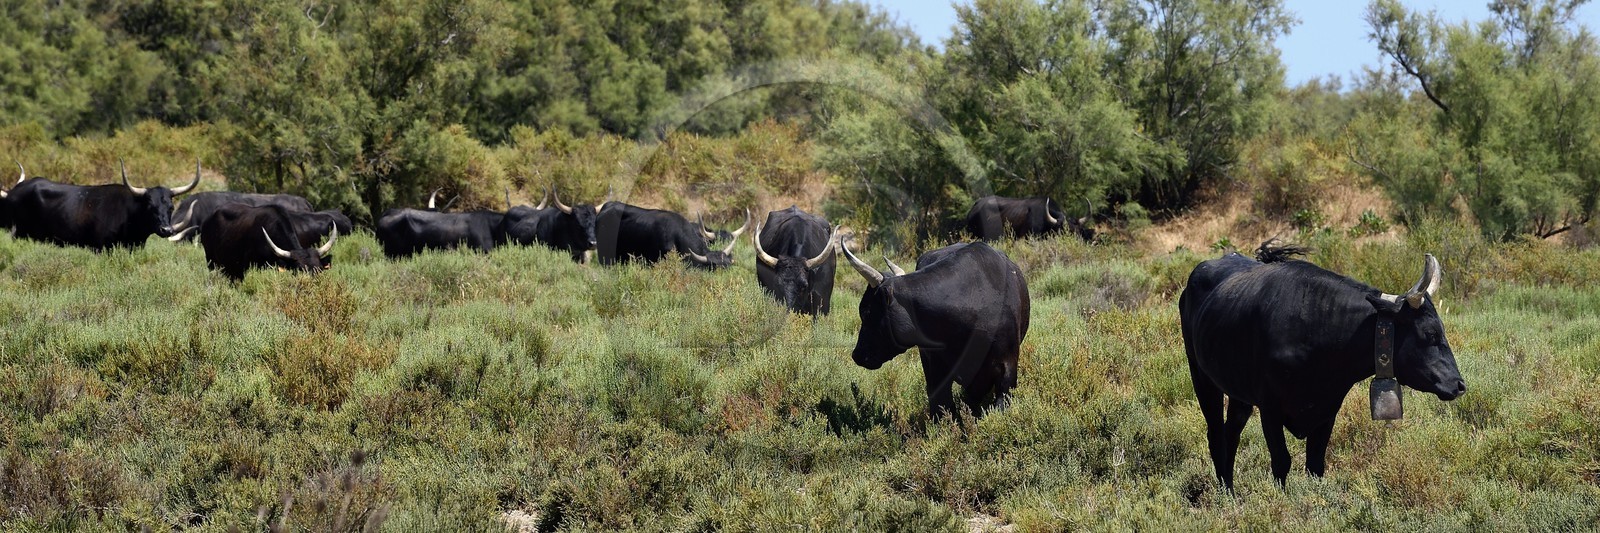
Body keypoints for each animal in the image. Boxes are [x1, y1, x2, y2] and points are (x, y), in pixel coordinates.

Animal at [4, 159, 200, 250]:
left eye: (171, 207)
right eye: (151, 207)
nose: (166, 230)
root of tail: (16, 189)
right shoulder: (101, 247)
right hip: (18, 233)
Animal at [1178, 244, 1467, 491]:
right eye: (1430, 334)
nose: (1459, 384)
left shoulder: (1327, 410)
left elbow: (1315, 465)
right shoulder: (1270, 409)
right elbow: (1281, 462)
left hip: (1238, 393)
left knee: (1231, 434)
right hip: (1202, 377)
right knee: (1216, 436)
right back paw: (1226, 494)